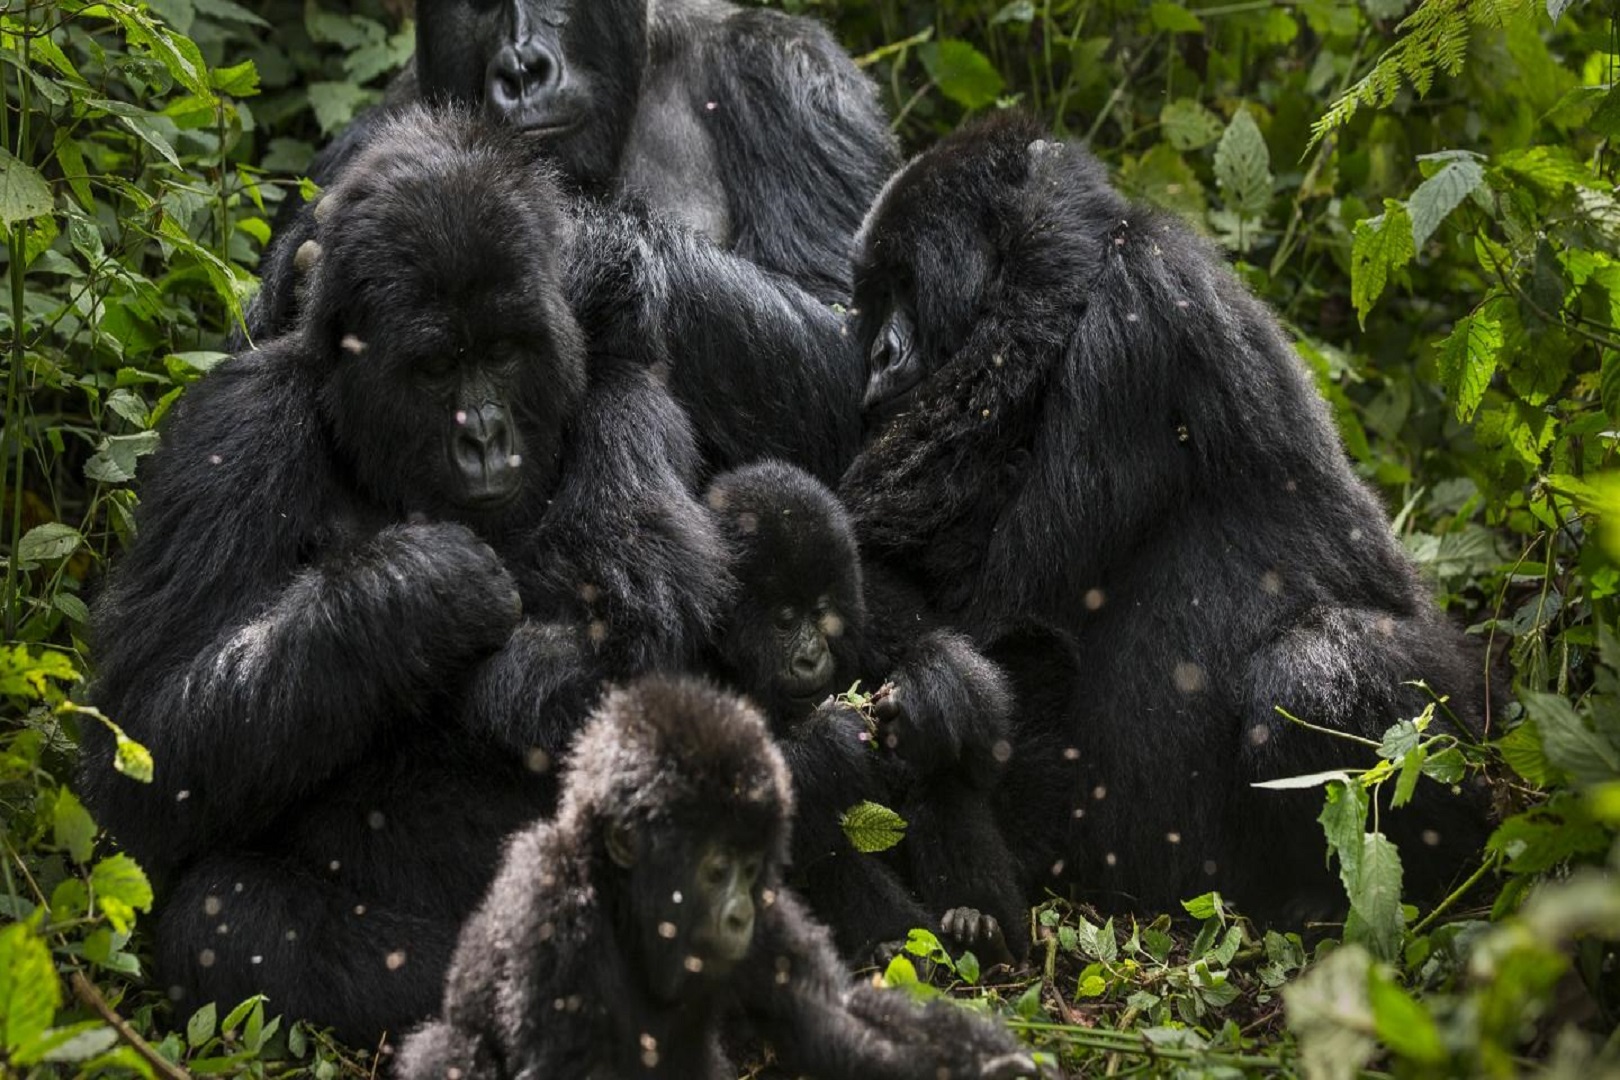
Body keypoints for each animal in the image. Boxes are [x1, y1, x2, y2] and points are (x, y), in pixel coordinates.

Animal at [78, 110, 725, 1049]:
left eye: (504, 351)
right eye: (435, 367)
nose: (484, 436)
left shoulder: (632, 400)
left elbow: (651, 657)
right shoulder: (237, 426)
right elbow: (140, 752)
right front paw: (413, 596)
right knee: (224, 914)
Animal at [388, 680, 1036, 1080]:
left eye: (750, 871)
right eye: (714, 870)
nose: (738, 915)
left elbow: (829, 1018)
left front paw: (980, 1062)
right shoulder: (550, 904)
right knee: (448, 1048)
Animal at [706, 459, 1030, 965]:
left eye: (822, 612)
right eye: (784, 619)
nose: (810, 658)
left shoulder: (875, 600)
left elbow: (987, 746)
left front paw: (933, 692)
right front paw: (830, 744)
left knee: (941, 773)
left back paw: (982, 930)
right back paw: (899, 946)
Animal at [848, 116, 1490, 932]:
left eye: (905, 283)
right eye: (873, 296)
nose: (877, 357)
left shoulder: (1141, 311)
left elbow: (1002, 604)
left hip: (1466, 731)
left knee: (1307, 672)